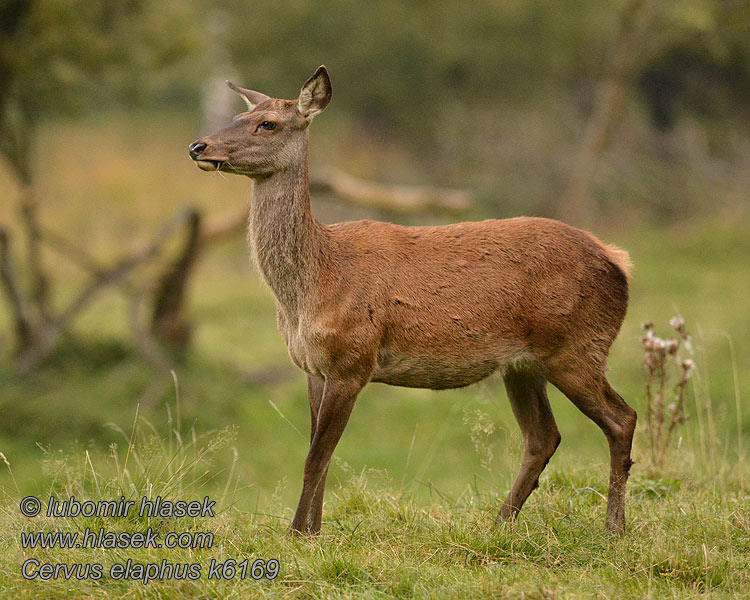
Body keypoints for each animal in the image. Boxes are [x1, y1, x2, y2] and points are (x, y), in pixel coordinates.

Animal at [187, 64, 636, 536]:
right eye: (238, 116)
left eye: (267, 123)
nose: (198, 145)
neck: (311, 285)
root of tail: (618, 260)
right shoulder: (313, 367)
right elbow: (319, 456)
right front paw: (313, 531)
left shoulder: (353, 359)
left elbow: (315, 458)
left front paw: (296, 534)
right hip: (523, 364)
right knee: (543, 436)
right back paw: (498, 524)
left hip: (577, 348)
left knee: (621, 419)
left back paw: (613, 527)